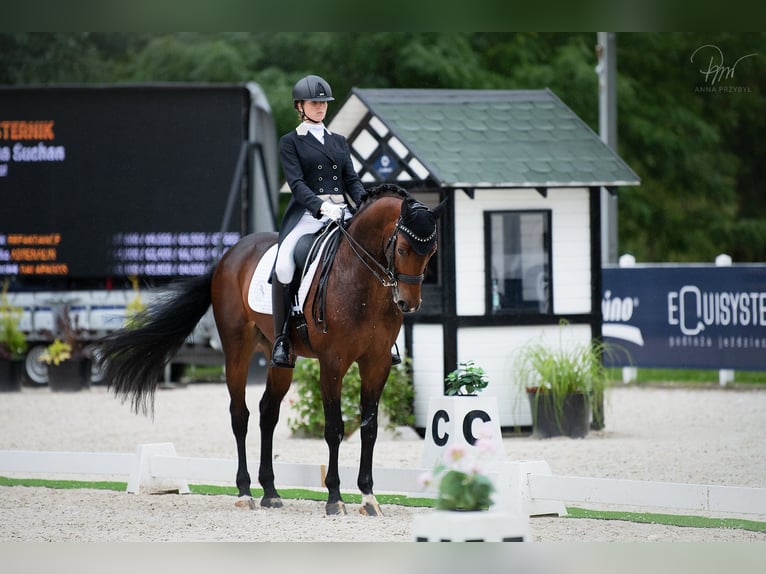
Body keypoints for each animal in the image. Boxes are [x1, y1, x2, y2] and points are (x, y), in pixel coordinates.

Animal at [98, 184, 444, 516]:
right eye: (402, 248)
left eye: (432, 253)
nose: (408, 303)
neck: (360, 281)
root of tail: (229, 255)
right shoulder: (332, 363)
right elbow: (334, 428)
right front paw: (335, 498)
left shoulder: (377, 362)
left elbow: (369, 428)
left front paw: (369, 498)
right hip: (237, 349)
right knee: (240, 415)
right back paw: (245, 492)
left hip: (280, 357)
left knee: (268, 412)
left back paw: (271, 492)